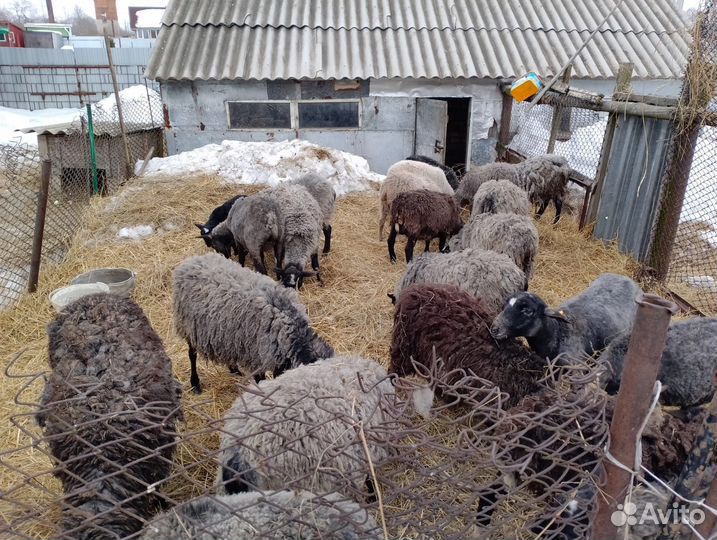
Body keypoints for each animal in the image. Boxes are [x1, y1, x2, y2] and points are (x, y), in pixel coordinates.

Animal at [172, 253, 333, 393]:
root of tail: (191, 261)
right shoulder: (256, 357)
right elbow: (261, 380)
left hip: (225, 333)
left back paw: (234, 369)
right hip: (189, 325)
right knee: (192, 354)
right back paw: (195, 383)